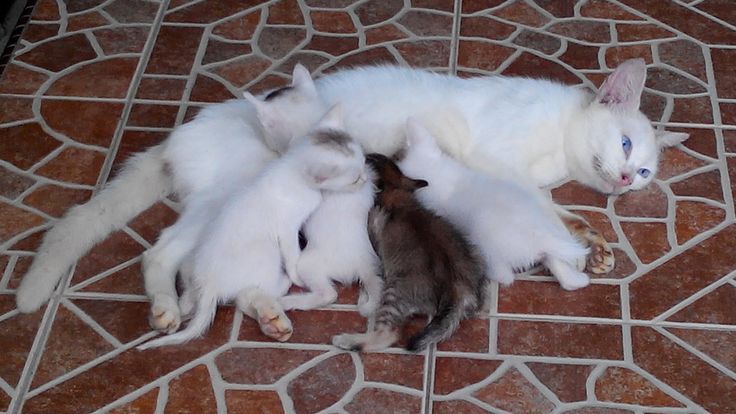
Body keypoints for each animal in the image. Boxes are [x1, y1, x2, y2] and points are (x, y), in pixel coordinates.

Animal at [137, 104, 366, 350]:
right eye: (354, 179)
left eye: (365, 162)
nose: (366, 179)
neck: (290, 167)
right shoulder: (287, 225)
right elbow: (292, 254)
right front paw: (296, 276)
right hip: (231, 222)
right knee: (160, 253)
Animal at [330, 154, 486, 350]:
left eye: (369, 158)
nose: (364, 155)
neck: (393, 188)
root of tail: (457, 291)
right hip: (473, 255)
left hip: (394, 293)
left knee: (388, 335)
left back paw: (347, 340)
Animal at [400, 119, 588, 292]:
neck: (437, 172)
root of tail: (541, 239)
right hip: (552, 247)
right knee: (564, 274)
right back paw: (580, 280)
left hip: (490, 249)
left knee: (505, 276)